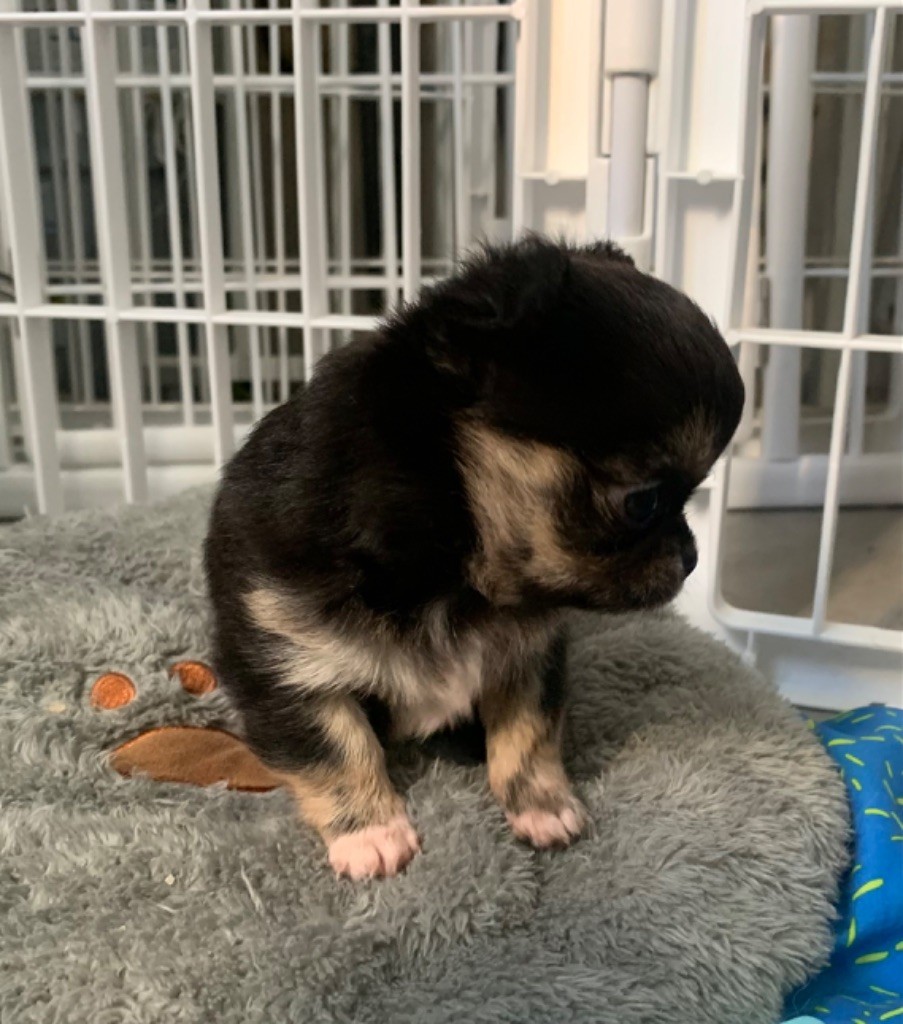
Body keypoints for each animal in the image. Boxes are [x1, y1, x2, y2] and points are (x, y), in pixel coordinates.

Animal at [204, 237, 744, 879]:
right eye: (643, 502)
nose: (690, 558)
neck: (454, 576)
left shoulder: (528, 655)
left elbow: (527, 732)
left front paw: (543, 807)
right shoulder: (286, 658)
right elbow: (339, 747)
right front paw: (371, 834)